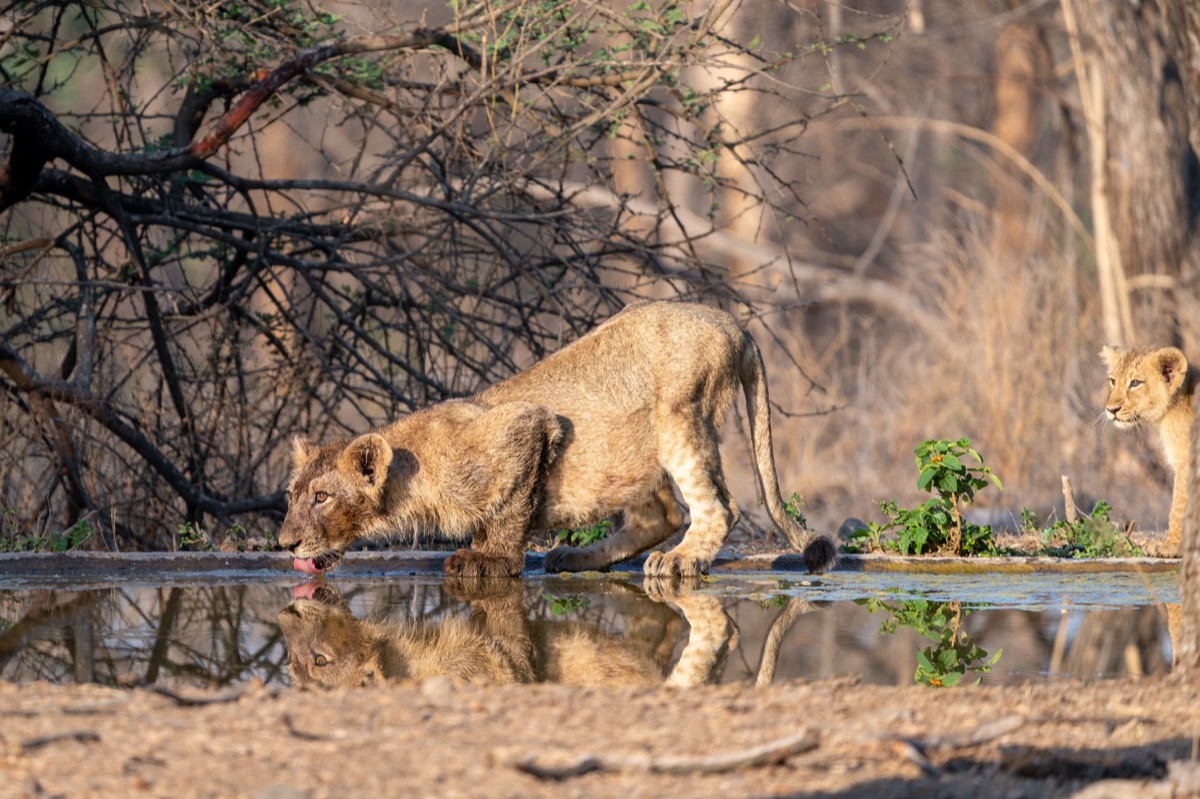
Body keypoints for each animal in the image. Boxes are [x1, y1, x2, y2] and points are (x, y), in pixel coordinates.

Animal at [278, 300, 837, 578]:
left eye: (322, 497)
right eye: (292, 496)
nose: (285, 543)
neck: (408, 481)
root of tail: (736, 324)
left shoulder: (525, 426)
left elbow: (509, 512)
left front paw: (490, 562)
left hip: (679, 417)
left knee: (719, 507)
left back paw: (679, 561)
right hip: (637, 447)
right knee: (662, 514)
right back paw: (574, 558)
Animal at [1101, 344, 1199, 554]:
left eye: (1135, 383)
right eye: (1113, 381)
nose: (1111, 409)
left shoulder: (1187, 462)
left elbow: (1179, 508)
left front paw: (1170, 547)